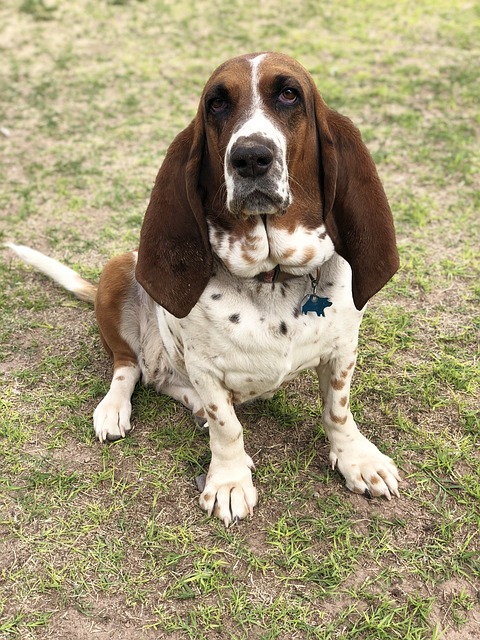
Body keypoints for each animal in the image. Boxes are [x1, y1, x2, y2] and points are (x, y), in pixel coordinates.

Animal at [7, 52, 402, 524]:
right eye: (217, 103)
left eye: (289, 94)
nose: (251, 158)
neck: (270, 277)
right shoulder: (206, 369)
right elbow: (227, 426)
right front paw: (229, 481)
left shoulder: (342, 351)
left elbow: (338, 411)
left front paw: (357, 459)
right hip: (120, 269)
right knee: (130, 366)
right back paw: (114, 408)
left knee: (159, 378)